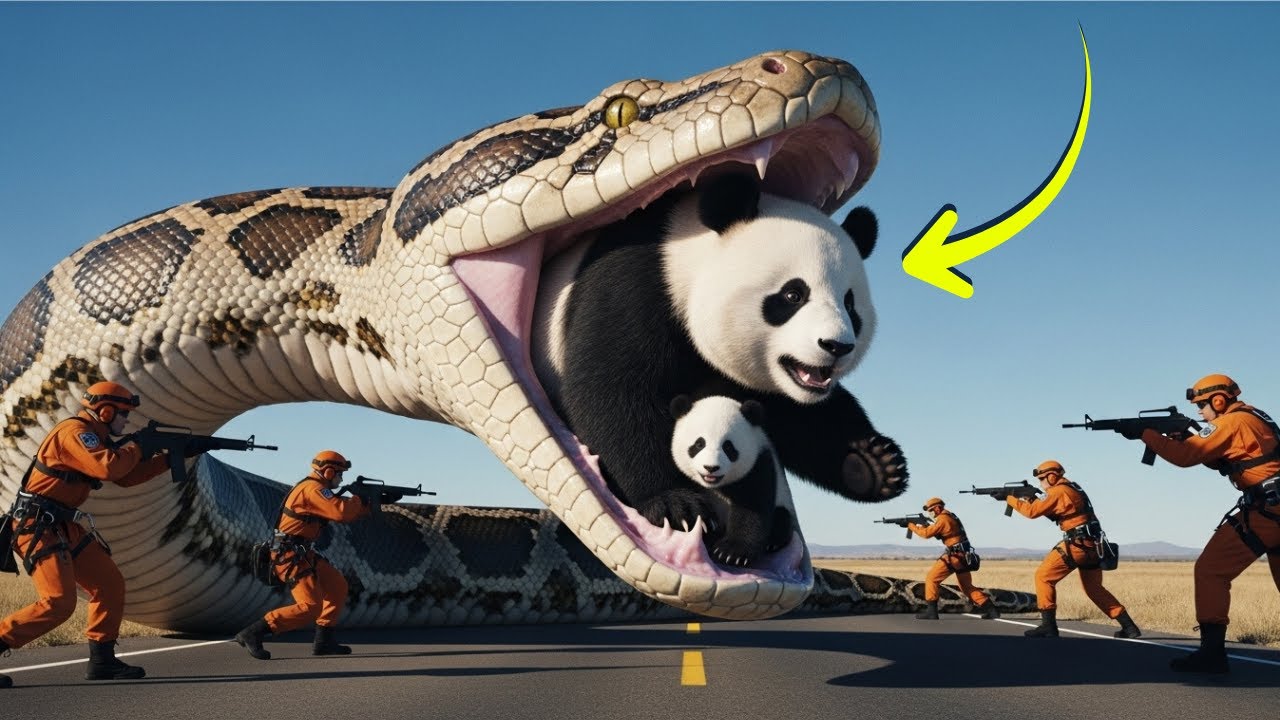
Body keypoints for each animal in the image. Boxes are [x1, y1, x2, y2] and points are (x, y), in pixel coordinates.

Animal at [531, 172, 907, 536]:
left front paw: (872, 465)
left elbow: (801, 420)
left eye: (850, 305)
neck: (684, 254)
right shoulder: (634, 287)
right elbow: (611, 391)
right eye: (793, 295)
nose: (837, 347)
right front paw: (675, 504)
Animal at [668, 394, 795, 566]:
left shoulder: (758, 464)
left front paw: (730, 553)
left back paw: (772, 541)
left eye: (728, 447)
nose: (711, 468)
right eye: (699, 444)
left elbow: (752, 505)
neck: (716, 486)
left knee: (782, 517)